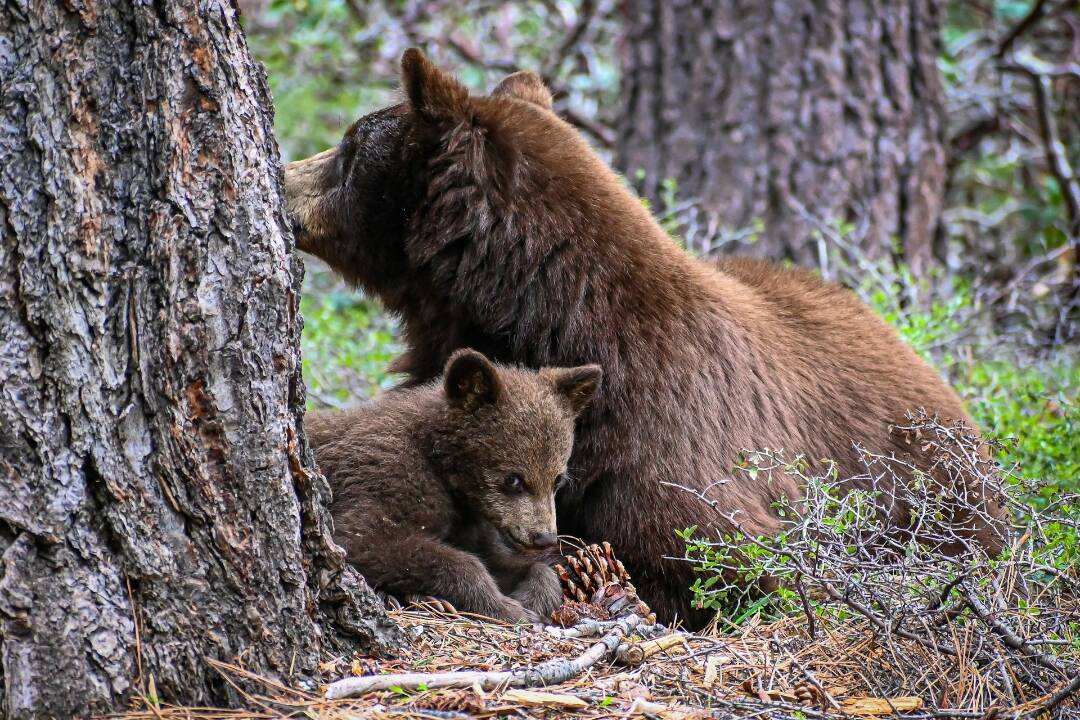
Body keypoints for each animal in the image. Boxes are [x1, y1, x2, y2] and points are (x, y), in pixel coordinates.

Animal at [282, 49, 1006, 626]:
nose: (283, 179)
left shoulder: (671, 440)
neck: (554, 318)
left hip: (938, 495)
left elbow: (726, 556)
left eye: (348, 148)